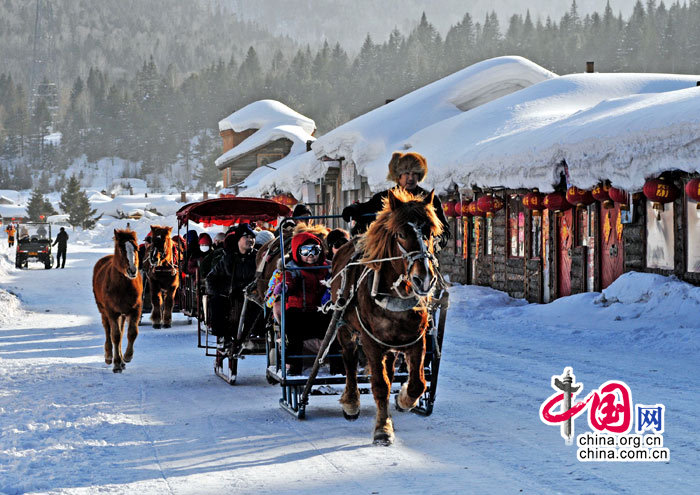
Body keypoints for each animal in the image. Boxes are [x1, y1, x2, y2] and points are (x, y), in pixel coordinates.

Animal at [93, 231, 142, 374]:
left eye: (136, 248)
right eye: (121, 249)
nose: (132, 270)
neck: (122, 286)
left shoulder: (135, 309)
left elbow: (132, 333)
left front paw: (127, 356)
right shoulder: (112, 311)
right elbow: (115, 335)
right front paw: (116, 364)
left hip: (123, 314)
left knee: (121, 331)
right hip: (103, 310)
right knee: (107, 330)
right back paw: (109, 356)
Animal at [330, 189, 440, 446]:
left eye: (430, 232)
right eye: (401, 234)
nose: (424, 279)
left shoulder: (415, 339)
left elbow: (418, 383)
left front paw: (403, 400)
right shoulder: (371, 342)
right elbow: (380, 385)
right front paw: (382, 429)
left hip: (390, 344)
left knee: (389, 369)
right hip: (345, 329)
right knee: (349, 360)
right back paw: (351, 402)